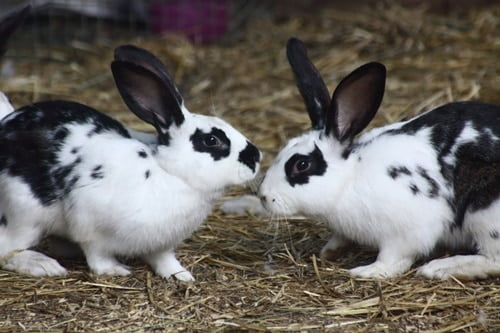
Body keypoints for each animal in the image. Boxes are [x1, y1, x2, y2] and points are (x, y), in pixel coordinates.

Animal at [0, 6, 262, 278]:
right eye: (211, 140)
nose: (256, 157)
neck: (169, 172)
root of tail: (5, 124)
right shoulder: (89, 223)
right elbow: (97, 255)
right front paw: (115, 270)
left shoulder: (161, 244)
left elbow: (164, 259)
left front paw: (181, 276)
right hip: (24, 212)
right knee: (7, 248)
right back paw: (44, 265)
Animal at [258, 36, 500, 278]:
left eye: (302, 164)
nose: (263, 196)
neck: (348, 180)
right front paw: (329, 251)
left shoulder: (406, 231)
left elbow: (393, 259)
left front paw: (368, 271)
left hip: (484, 216)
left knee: (493, 260)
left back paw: (439, 268)